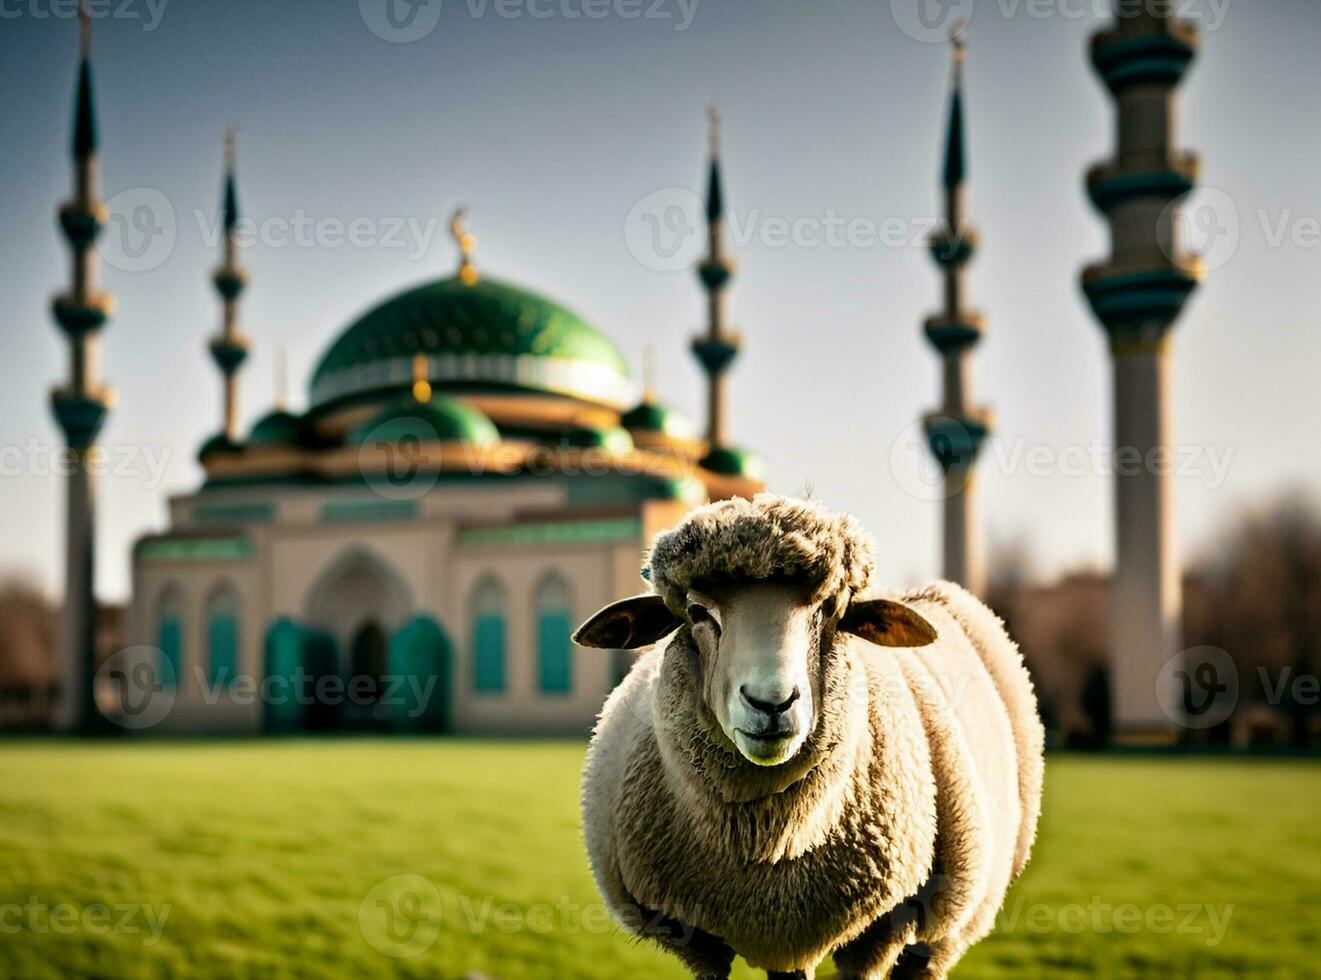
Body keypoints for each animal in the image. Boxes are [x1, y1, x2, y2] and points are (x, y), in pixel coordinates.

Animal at [575, 499, 1040, 980]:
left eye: (830, 607)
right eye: (697, 612)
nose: (771, 702)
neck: (767, 846)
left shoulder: (881, 929)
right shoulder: (694, 936)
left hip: (948, 921)